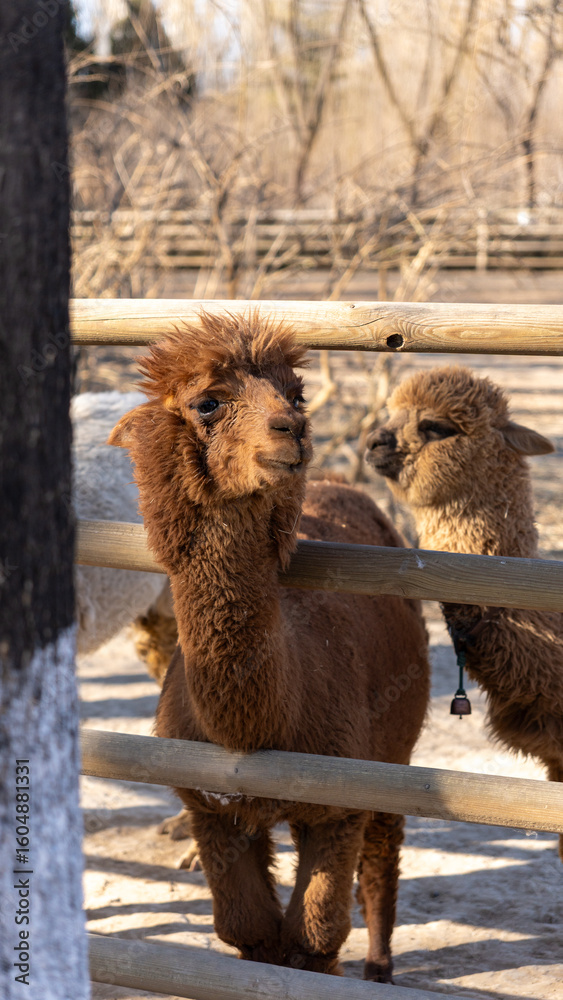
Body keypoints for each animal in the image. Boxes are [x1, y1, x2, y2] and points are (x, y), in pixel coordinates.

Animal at [108, 311, 430, 981]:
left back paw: (380, 969)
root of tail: (342, 485)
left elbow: (314, 936)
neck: (252, 735)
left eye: (295, 394)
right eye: (207, 402)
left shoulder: (338, 804)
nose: (294, 429)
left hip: (392, 748)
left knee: (382, 855)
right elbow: (249, 930)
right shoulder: (209, 806)